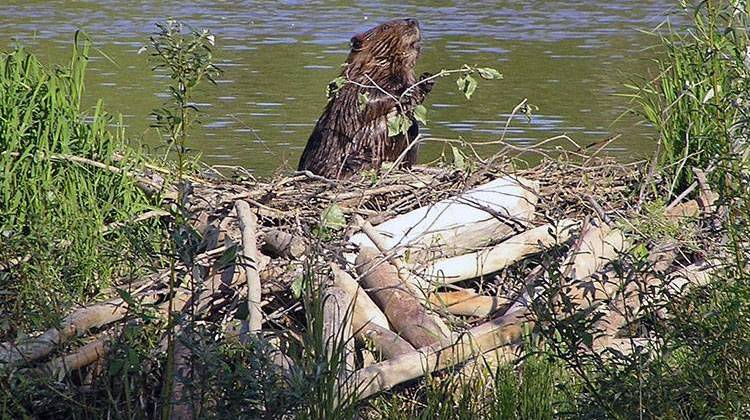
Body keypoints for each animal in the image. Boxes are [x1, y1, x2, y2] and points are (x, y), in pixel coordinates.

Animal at [296, 18, 432, 179]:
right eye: (385, 27)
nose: (413, 21)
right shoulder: (355, 84)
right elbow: (362, 104)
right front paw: (402, 93)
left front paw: (426, 80)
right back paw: (358, 161)